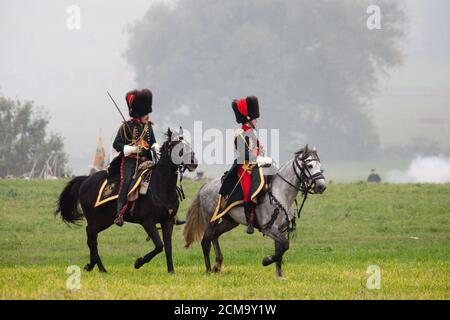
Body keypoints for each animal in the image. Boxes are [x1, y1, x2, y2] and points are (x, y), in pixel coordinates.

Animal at [55, 128, 197, 272]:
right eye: (177, 148)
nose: (193, 162)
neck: (162, 186)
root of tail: (85, 180)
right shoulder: (148, 222)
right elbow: (159, 245)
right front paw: (138, 262)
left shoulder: (168, 221)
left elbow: (168, 247)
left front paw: (171, 271)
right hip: (95, 219)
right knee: (91, 239)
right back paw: (100, 268)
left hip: (105, 220)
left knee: (91, 237)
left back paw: (92, 265)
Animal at [183, 145, 326, 278]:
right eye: (309, 165)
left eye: (320, 166)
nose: (322, 186)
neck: (279, 193)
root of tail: (205, 186)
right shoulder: (268, 228)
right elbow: (285, 245)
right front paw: (266, 260)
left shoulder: (282, 229)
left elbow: (280, 250)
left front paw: (279, 275)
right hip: (210, 220)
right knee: (205, 241)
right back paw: (208, 270)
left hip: (229, 222)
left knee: (214, 236)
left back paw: (217, 265)